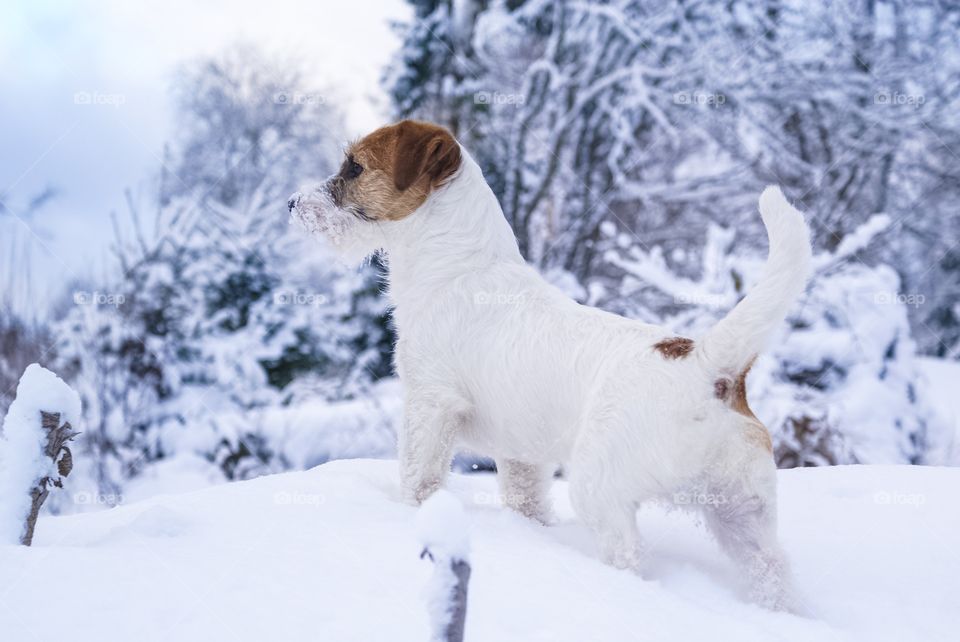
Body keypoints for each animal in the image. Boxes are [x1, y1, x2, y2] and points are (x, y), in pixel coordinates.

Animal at [290, 119, 808, 604]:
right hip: (743, 514)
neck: (458, 266)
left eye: (355, 167)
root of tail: (708, 365)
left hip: (599, 489)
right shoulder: (522, 455)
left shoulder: (430, 406)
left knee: (627, 555)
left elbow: (419, 478)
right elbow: (526, 502)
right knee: (771, 570)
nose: (292, 204)